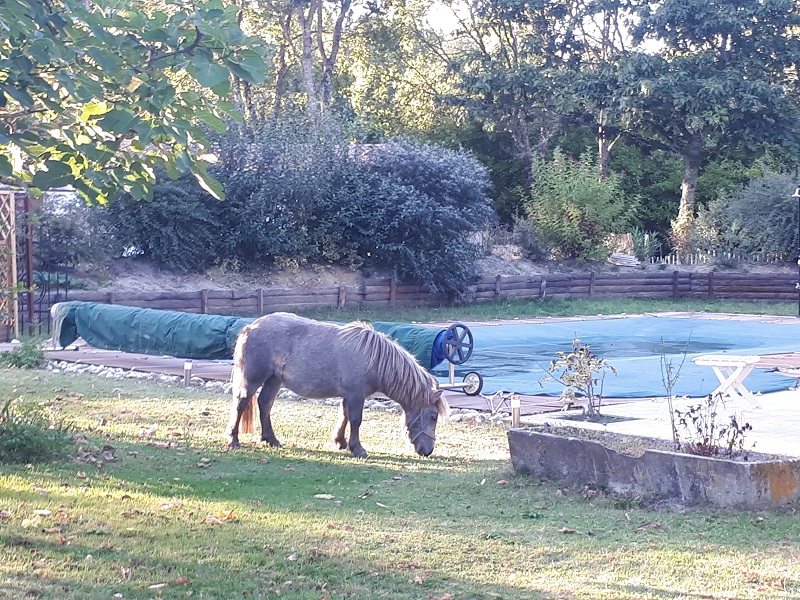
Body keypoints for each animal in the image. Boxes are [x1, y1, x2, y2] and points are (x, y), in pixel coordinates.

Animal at [228, 312, 446, 458]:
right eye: (433, 416)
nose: (428, 450)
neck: (374, 358)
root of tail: (250, 327)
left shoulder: (348, 395)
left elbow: (344, 416)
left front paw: (340, 442)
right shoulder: (356, 395)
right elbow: (356, 420)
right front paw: (358, 449)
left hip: (274, 380)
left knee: (265, 404)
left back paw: (271, 439)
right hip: (253, 379)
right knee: (241, 403)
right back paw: (233, 439)